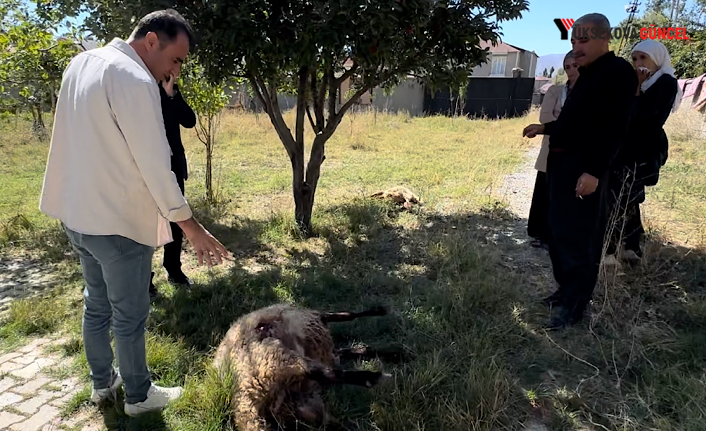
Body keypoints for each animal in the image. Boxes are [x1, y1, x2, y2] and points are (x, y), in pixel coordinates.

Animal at [212, 304, 398, 431]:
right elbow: (347, 315)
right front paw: (380, 311)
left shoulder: (331, 353)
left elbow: (359, 348)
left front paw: (395, 354)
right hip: (275, 356)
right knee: (321, 371)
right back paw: (376, 378)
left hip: (300, 404)